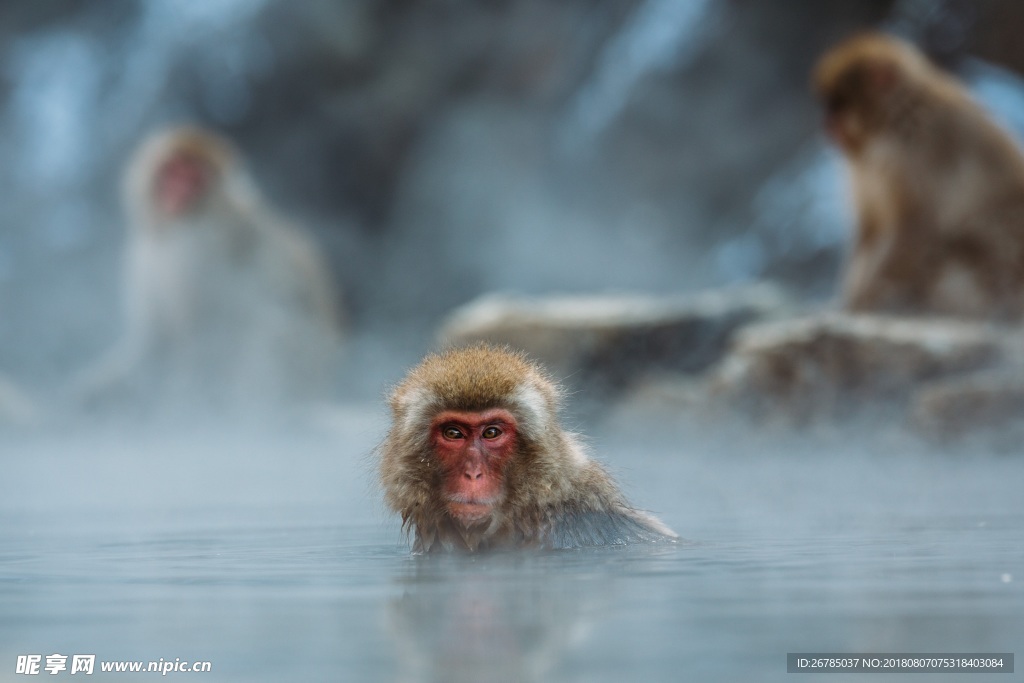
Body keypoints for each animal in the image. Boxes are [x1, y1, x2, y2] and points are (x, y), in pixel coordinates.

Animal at [815, 32, 1024, 321]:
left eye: (839, 103)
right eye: (830, 104)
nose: (827, 123)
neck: (894, 120)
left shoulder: (920, 155)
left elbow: (916, 229)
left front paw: (863, 302)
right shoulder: (865, 169)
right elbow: (871, 229)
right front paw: (851, 298)